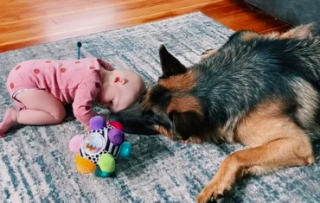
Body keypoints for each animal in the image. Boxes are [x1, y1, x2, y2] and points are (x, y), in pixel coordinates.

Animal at [110, 23, 320, 202]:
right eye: (143, 96)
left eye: (151, 118)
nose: (111, 117)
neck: (215, 84)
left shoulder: (297, 143)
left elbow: (236, 156)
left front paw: (215, 185)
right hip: (249, 37)